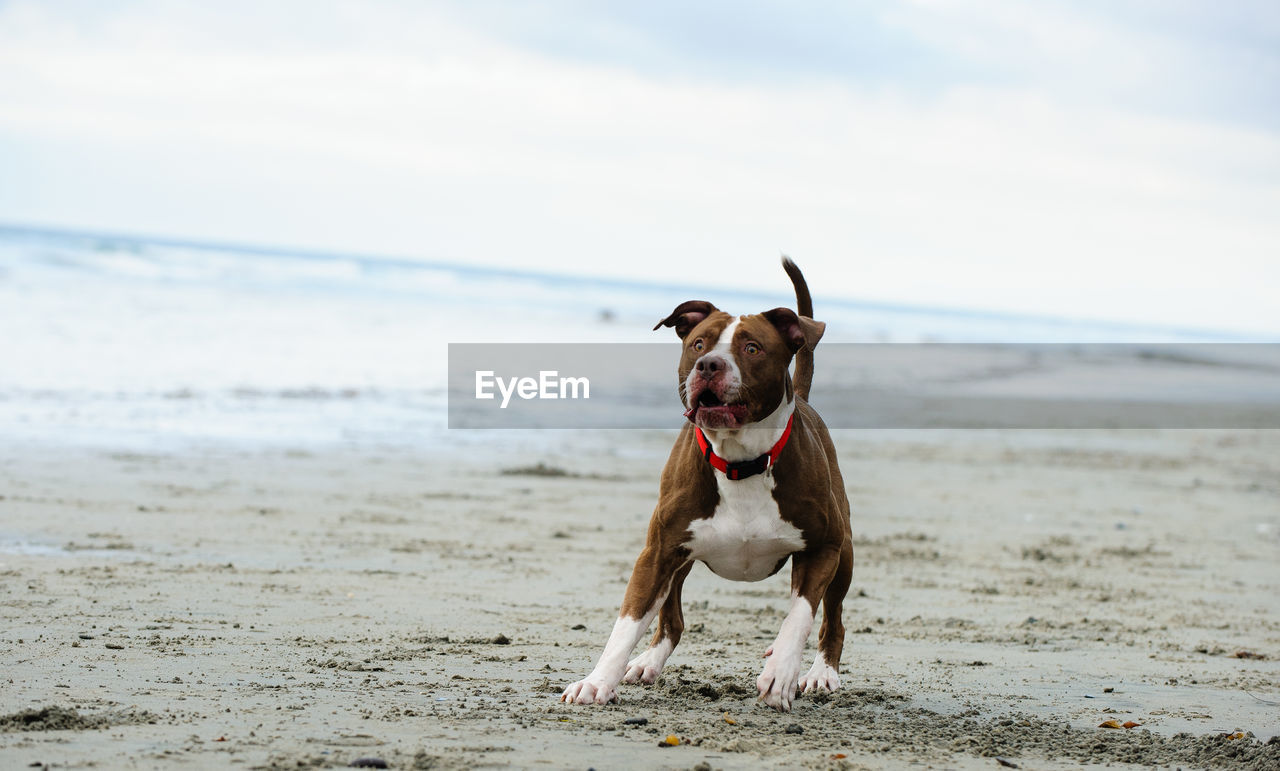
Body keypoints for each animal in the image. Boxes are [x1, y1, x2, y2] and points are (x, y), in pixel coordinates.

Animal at [563, 256, 855, 706]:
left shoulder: (823, 548)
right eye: (699, 344)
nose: (709, 366)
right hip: (680, 556)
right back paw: (649, 662)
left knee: (832, 618)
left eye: (752, 348)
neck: (740, 460)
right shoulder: (658, 553)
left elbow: (800, 616)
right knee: (672, 619)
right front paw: (597, 682)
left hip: (845, 554)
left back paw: (821, 672)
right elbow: (626, 625)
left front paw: (780, 673)